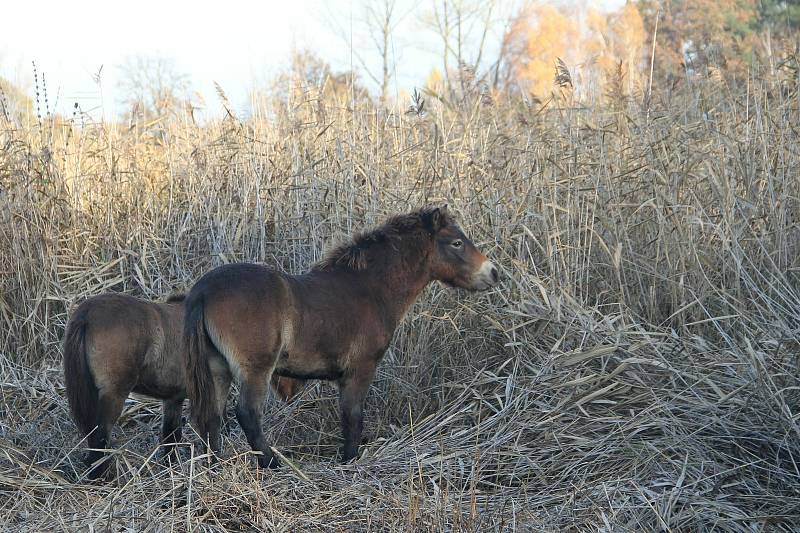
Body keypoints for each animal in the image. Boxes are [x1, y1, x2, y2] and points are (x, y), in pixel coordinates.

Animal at [63, 290, 304, 478]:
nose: (292, 394)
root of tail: (86, 315)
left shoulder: (173, 398)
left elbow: (171, 437)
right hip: (113, 395)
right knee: (100, 435)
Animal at [186, 206, 500, 468]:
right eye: (456, 242)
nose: (493, 272)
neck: (370, 288)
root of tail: (203, 290)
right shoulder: (360, 369)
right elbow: (353, 416)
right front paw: (349, 460)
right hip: (255, 369)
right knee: (247, 413)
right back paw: (271, 463)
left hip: (218, 369)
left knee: (213, 416)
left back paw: (216, 465)